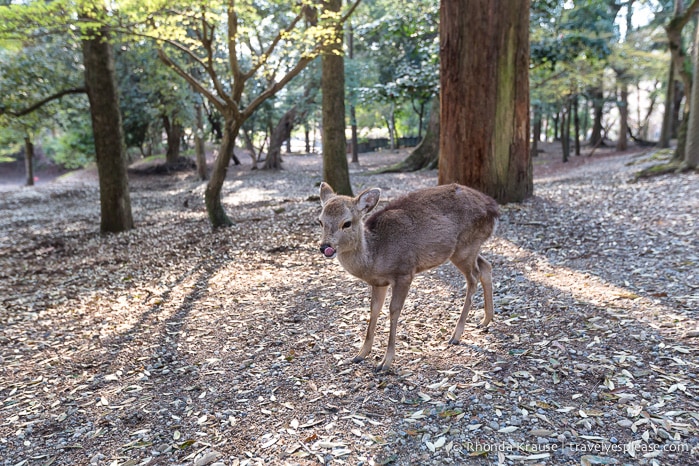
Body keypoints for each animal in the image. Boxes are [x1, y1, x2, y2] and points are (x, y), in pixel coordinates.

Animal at [318, 181, 498, 372]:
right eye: (320, 221)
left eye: (346, 223)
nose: (325, 247)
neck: (375, 256)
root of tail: (494, 209)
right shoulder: (379, 282)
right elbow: (374, 309)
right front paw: (360, 354)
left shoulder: (404, 272)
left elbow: (394, 310)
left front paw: (385, 362)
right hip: (468, 249)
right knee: (486, 266)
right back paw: (485, 321)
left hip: (465, 246)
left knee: (473, 278)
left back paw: (456, 335)